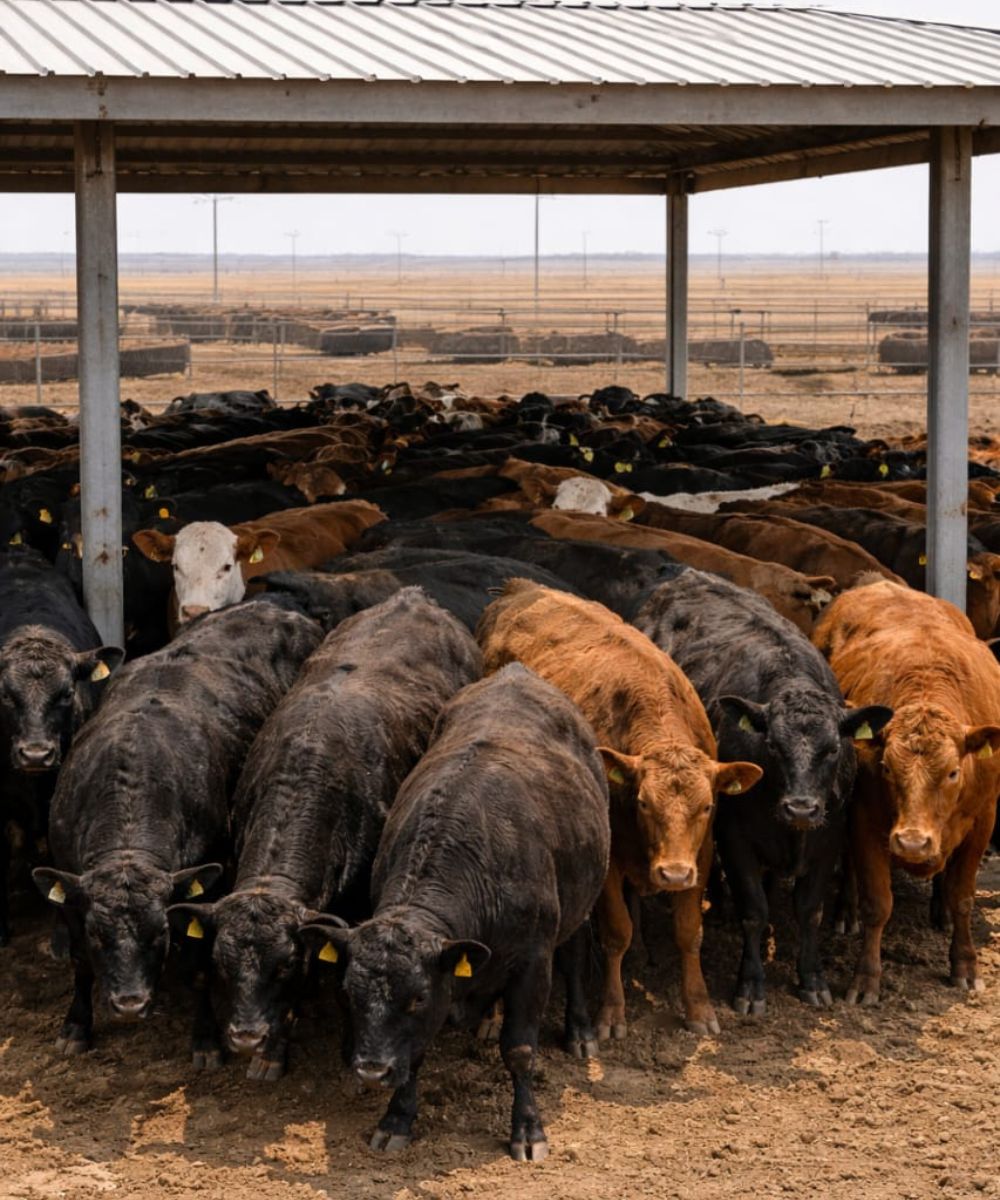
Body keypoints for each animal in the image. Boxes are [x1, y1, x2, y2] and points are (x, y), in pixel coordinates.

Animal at [32, 599, 323, 1058]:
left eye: (160, 934)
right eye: (99, 934)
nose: (130, 1004)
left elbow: (199, 968)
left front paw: (205, 1039)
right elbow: (80, 962)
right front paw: (76, 1025)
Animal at [300, 663, 609, 1160]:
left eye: (418, 996)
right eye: (348, 993)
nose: (371, 1070)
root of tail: (517, 672)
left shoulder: (533, 962)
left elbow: (520, 1050)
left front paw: (528, 1130)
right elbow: (414, 1053)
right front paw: (396, 1119)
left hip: (583, 895)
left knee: (577, 955)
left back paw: (580, 1031)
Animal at [478, 580, 761, 1038]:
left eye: (706, 806)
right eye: (644, 802)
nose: (673, 874)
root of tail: (518, 588)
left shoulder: (701, 853)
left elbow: (689, 932)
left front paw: (699, 1008)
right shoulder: (608, 863)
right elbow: (616, 932)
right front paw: (611, 1013)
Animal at [633, 569, 891, 1014]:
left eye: (833, 748)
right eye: (772, 744)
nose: (800, 809)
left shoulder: (828, 834)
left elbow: (809, 910)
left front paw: (812, 978)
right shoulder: (735, 836)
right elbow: (753, 909)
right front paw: (751, 985)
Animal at [813, 580, 1000, 1002]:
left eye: (952, 773)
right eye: (884, 767)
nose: (913, 843)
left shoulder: (983, 820)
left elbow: (963, 897)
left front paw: (965, 965)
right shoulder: (865, 817)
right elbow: (877, 903)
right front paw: (866, 979)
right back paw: (845, 912)